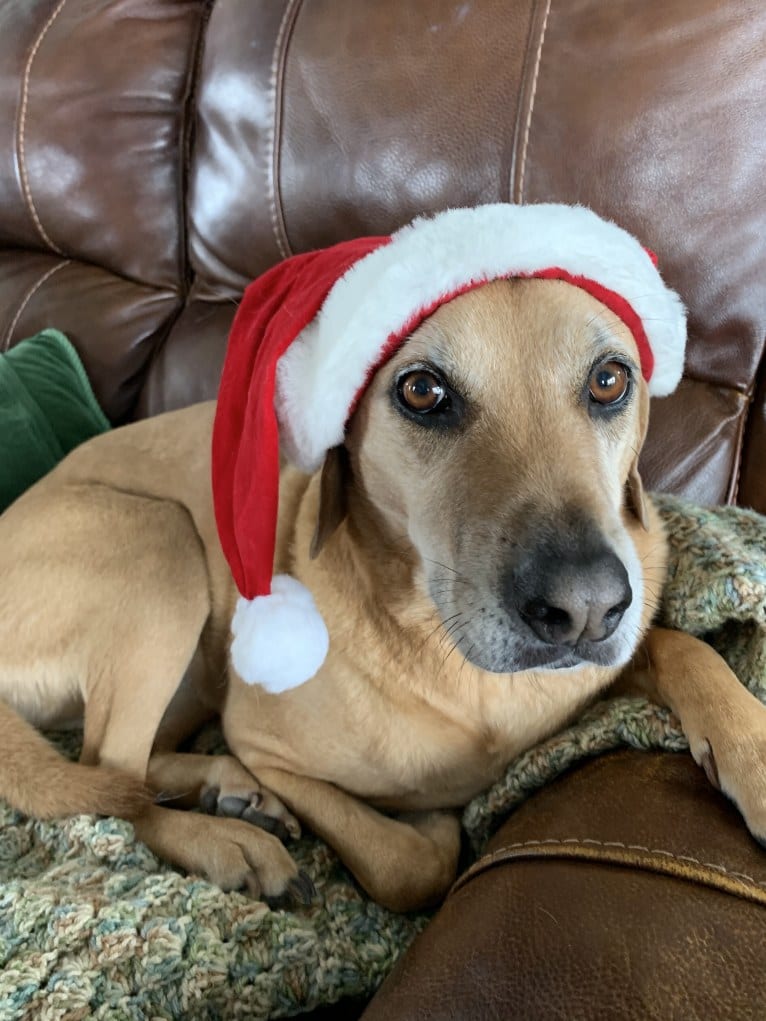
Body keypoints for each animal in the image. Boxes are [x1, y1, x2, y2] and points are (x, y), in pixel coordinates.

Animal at [1, 277, 766, 910]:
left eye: (609, 380)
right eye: (422, 391)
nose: (585, 609)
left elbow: (684, 647)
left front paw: (752, 750)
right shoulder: (263, 739)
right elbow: (410, 863)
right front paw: (431, 821)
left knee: (133, 763)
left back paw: (227, 788)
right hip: (162, 542)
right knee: (110, 779)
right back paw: (230, 839)